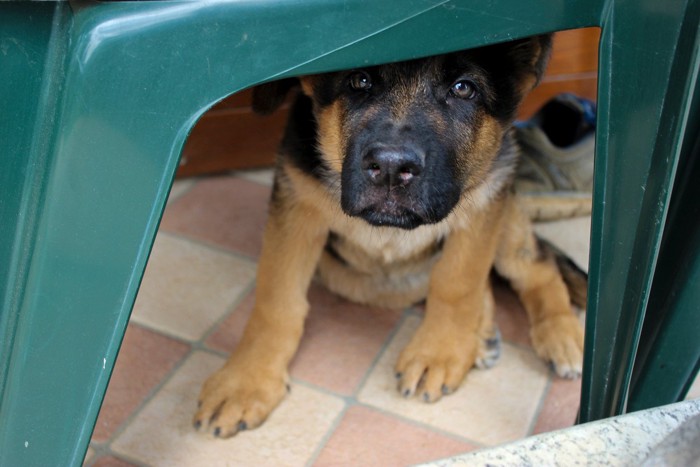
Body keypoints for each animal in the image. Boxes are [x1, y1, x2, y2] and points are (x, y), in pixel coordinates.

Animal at [191, 35, 584, 438]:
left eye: (463, 88)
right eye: (359, 80)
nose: (393, 170)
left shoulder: (486, 197)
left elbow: (457, 283)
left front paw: (438, 350)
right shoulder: (296, 203)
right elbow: (277, 300)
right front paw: (246, 380)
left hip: (506, 213)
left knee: (537, 268)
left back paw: (560, 334)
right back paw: (484, 333)